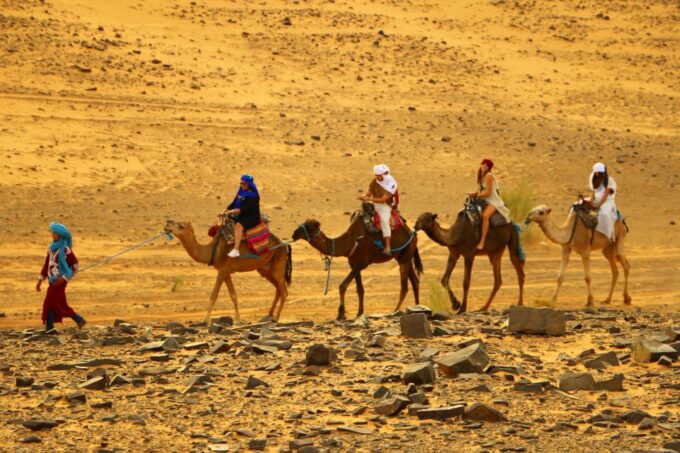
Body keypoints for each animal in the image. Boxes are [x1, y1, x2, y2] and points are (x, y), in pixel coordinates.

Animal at [163, 219, 292, 322]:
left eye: (181, 226)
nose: (167, 223)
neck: (212, 250)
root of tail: (283, 245)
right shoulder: (225, 271)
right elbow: (233, 294)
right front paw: (238, 318)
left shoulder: (223, 270)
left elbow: (214, 295)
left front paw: (205, 319)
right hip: (265, 270)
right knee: (278, 289)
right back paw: (269, 314)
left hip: (278, 266)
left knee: (284, 292)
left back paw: (276, 318)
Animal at [291, 206, 423, 321]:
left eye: (309, 227)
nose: (294, 233)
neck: (350, 241)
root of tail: (412, 233)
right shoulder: (353, 264)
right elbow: (360, 289)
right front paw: (359, 313)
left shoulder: (361, 263)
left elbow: (342, 286)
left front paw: (341, 314)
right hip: (402, 256)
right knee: (415, 281)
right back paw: (417, 307)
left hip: (406, 255)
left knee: (404, 287)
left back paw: (395, 311)